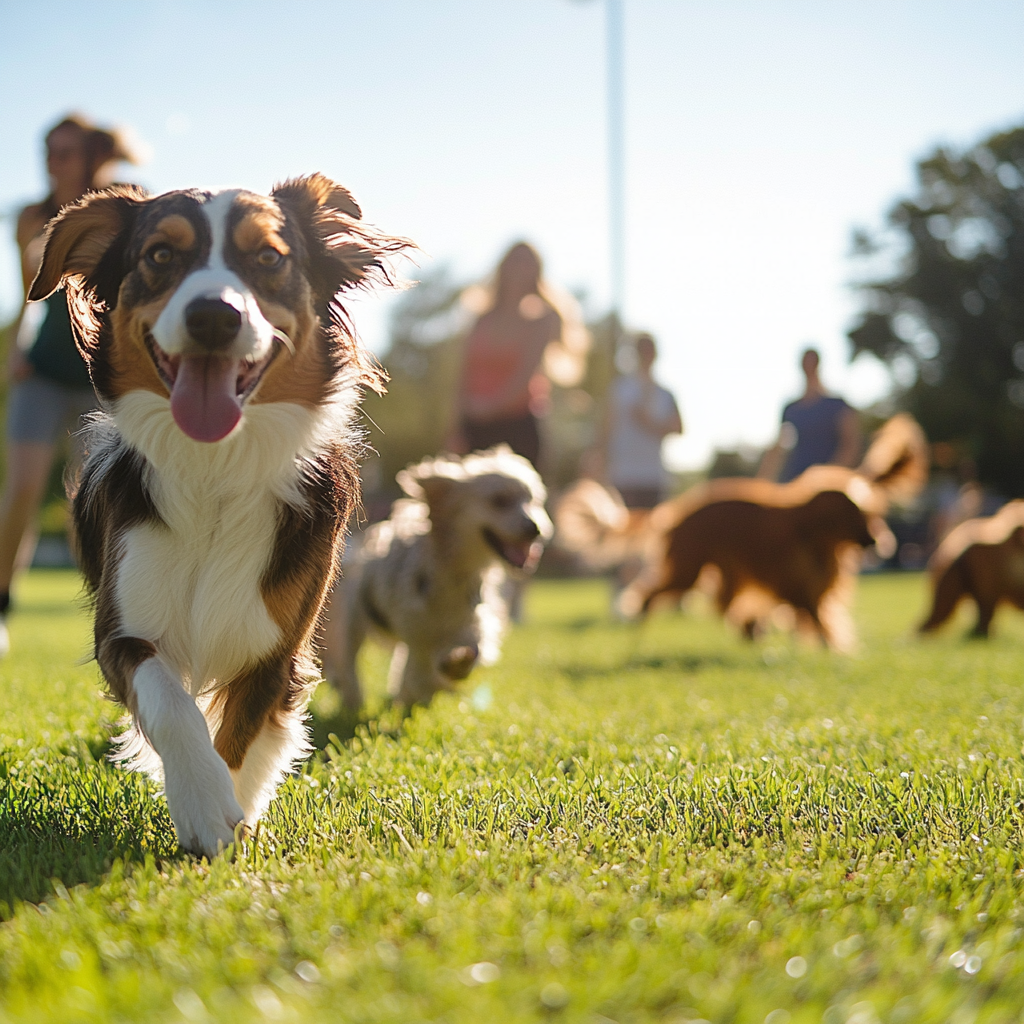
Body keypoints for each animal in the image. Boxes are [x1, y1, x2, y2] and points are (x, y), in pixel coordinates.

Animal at [27, 174, 407, 856]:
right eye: (159, 255)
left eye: (269, 258)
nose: (213, 315)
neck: (215, 468)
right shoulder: (122, 628)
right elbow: (172, 705)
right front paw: (202, 805)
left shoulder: (279, 646)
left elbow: (241, 735)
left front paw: (230, 813)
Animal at [323, 444, 552, 708]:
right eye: (499, 501)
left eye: (534, 501)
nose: (536, 529)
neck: (455, 571)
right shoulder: (418, 633)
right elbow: (419, 672)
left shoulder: (470, 624)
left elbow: (473, 649)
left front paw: (454, 668)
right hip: (351, 618)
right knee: (349, 663)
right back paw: (354, 701)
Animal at [561, 413, 929, 647]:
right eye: (852, 516)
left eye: (871, 515)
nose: (880, 542)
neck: (811, 531)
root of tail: (679, 509)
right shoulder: (797, 585)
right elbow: (818, 619)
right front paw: (831, 646)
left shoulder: (801, 587)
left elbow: (815, 617)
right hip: (689, 570)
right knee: (651, 593)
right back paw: (639, 623)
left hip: (723, 572)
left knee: (723, 605)